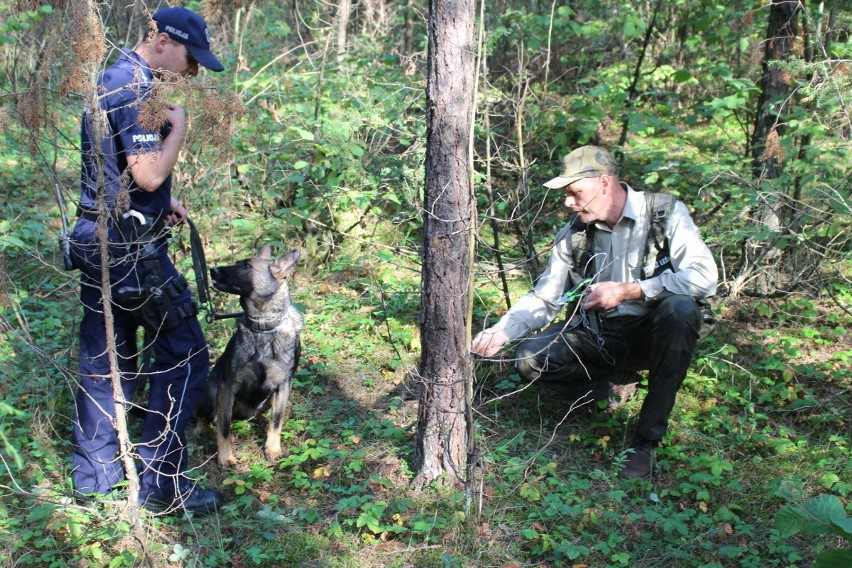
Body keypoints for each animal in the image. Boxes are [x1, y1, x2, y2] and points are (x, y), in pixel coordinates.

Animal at [198, 244, 304, 466]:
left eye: (246, 266)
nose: (212, 270)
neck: (264, 327)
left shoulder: (284, 386)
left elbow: (277, 421)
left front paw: (272, 448)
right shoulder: (227, 387)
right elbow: (224, 427)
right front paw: (225, 457)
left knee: (261, 415)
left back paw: (261, 420)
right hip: (212, 392)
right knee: (203, 415)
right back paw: (200, 429)